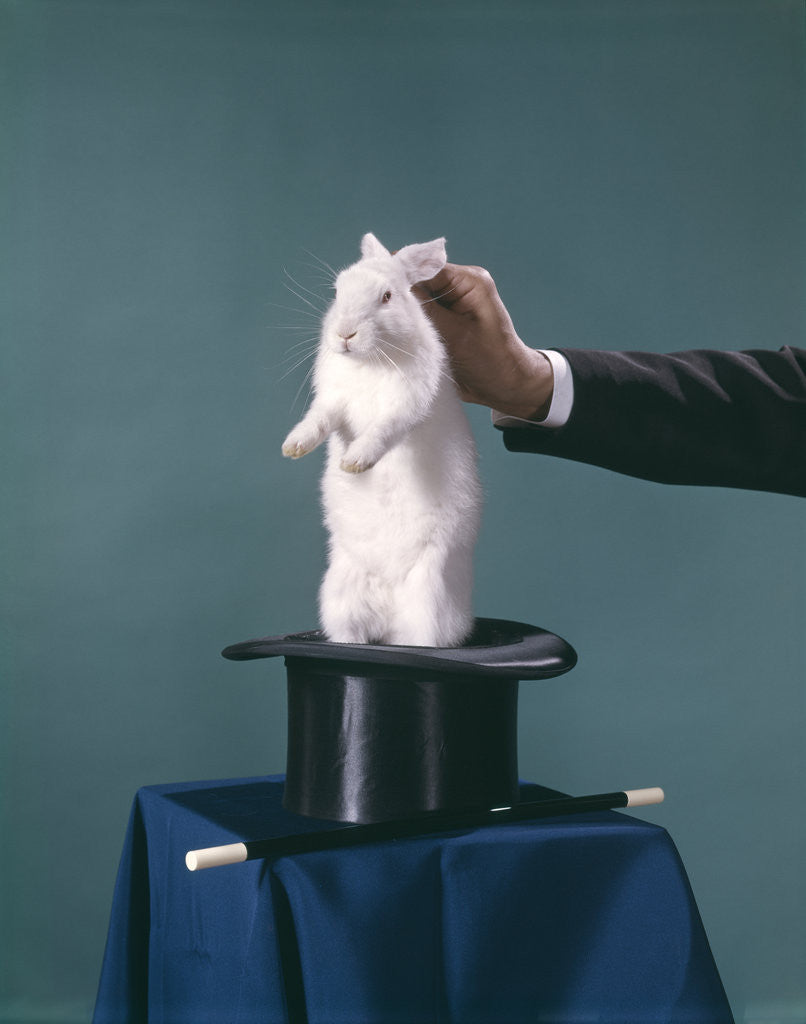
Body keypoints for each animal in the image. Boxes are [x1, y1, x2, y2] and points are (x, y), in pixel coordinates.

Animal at [281, 232, 482, 647]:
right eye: (337, 291)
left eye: (387, 296)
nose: (344, 334)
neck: (369, 361)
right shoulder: (333, 402)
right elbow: (318, 421)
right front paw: (294, 446)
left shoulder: (405, 406)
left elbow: (383, 430)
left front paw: (355, 461)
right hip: (339, 595)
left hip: (427, 597)